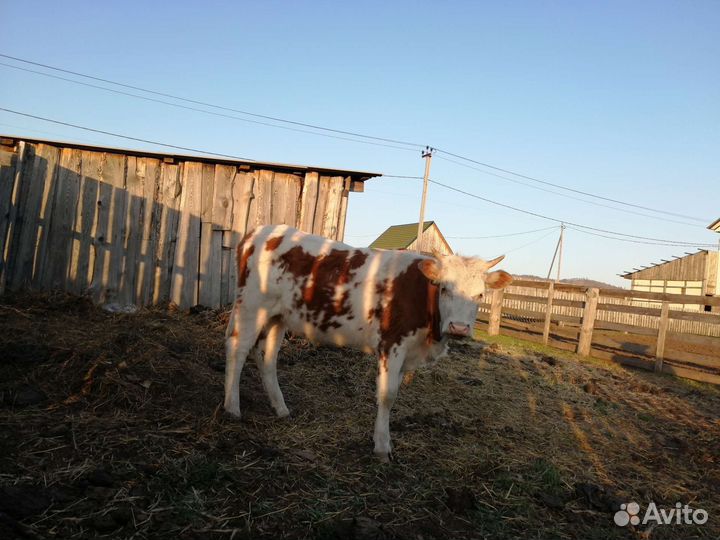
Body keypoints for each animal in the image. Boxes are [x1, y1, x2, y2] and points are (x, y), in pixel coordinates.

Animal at [224, 225, 512, 461]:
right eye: (445, 288)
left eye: (480, 295)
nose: (460, 328)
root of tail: (262, 230)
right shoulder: (392, 344)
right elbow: (387, 395)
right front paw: (382, 447)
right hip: (251, 306)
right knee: (238, 349)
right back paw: (232, 407)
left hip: (278, 317)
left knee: (267, 356)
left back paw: (281, 408)